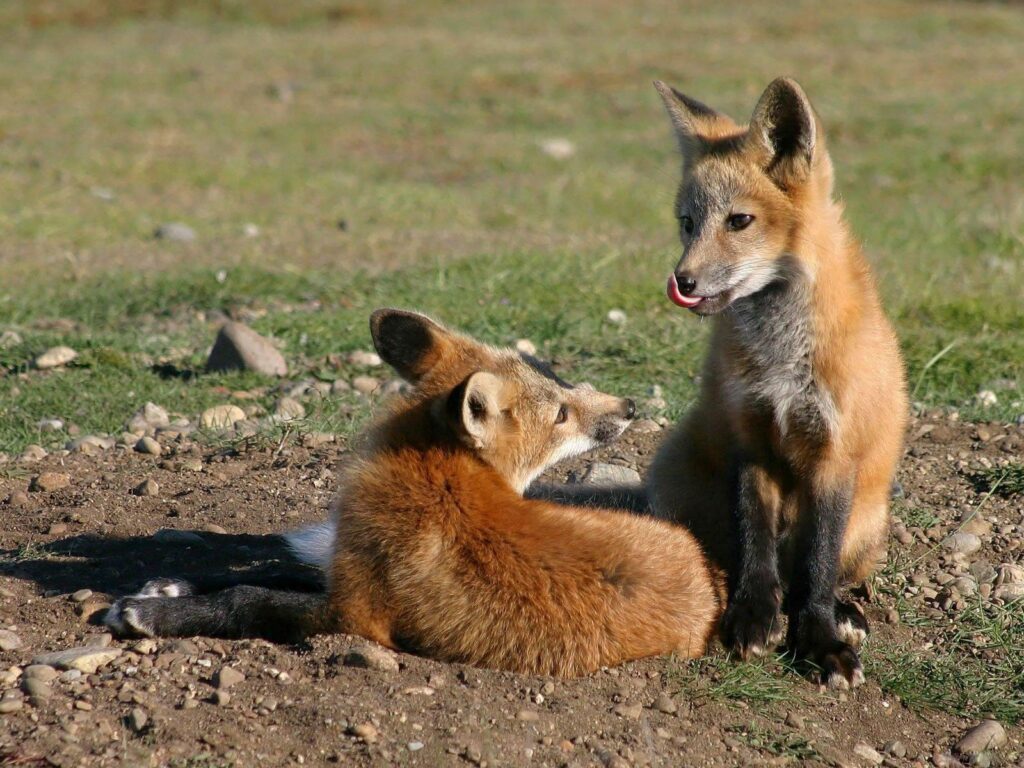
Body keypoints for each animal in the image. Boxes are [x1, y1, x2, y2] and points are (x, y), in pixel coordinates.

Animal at [106, 309, 721, 677]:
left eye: (562, 393)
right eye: (562, 409)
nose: (630, 407)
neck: (440, 480)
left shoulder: (358, 615)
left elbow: (250, 598)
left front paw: (151, 613)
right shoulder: (347, 569)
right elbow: (272, 571)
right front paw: (171, 586)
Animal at [646, 78, 909, 688]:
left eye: (738, 221)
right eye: (687, 223)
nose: (682, 281)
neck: (781, 362)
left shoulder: (835, 454)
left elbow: (817, 562)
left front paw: (818, 639)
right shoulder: (751, 436)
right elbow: (755, 539)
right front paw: (752, 616)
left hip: (868, 517)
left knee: (824, 571)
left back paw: (844, 609)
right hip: (673, 477)